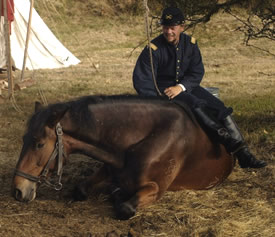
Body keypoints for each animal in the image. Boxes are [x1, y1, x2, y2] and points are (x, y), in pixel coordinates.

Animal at [11, 95, 235, 220]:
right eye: (23, 139)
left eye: (39, 144)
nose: (17, 191)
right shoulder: (108, 167)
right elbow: (81, 188)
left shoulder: (155, 189)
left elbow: (125, 208)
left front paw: (117, 195)